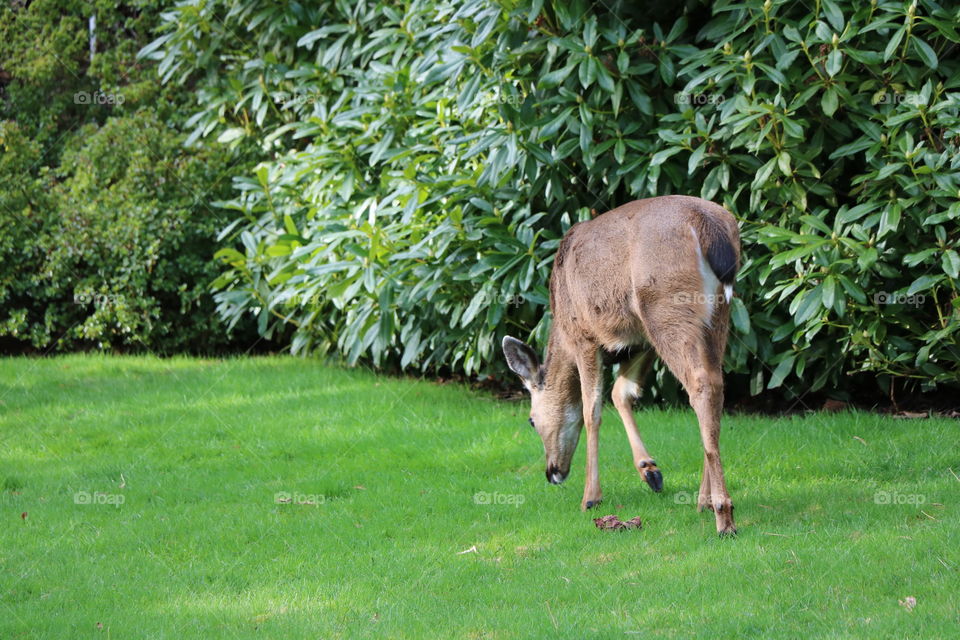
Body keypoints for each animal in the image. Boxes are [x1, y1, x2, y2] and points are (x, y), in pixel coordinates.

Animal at [502, 195, 744, 536]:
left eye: (531, 421)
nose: (553, 473)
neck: (559, 326)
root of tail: (709, 227)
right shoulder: (639, 339)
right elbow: (622, 392)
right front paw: (650, 471)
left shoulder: (585, 335)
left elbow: (591, 410)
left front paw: (591, 497)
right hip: (717, 313)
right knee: (716, 382)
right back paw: (704, 500)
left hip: (665, 304)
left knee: (702, 384)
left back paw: (723, 517)